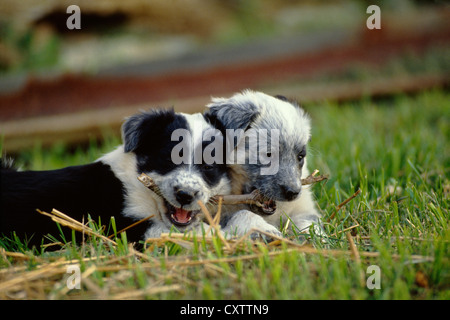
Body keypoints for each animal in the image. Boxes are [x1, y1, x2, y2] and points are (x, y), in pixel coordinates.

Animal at [206, 89, 322, 238]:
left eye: (300, 157)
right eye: (268, 155)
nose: (293, 193)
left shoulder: (304, 207)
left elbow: (309, 220)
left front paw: (314, 236)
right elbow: (242, 213)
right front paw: (264, 230)